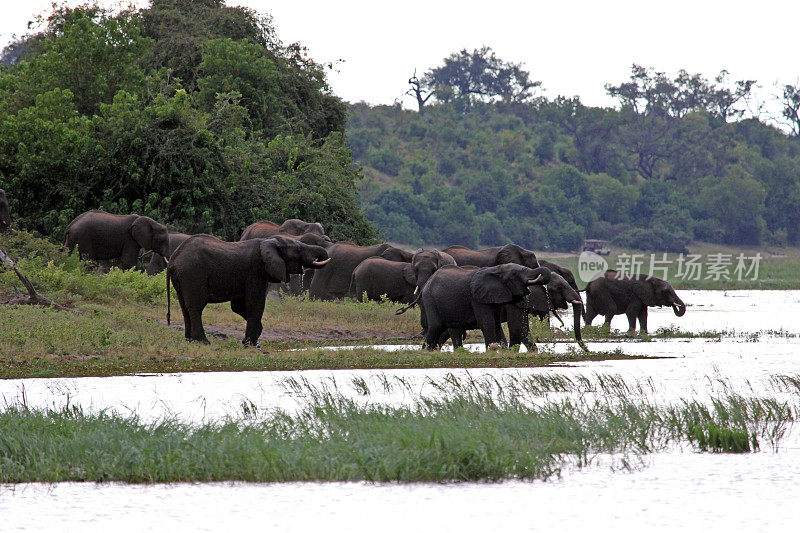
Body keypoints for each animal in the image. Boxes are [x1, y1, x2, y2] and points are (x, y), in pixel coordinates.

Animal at [167, 234, 330, 342]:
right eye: (298, 249)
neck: (269, 242)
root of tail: (173, 259)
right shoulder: (256, 270)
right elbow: (255, 303)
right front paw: (251, 344)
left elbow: (237, 306)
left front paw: (256, 334)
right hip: (193, 273)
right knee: (196, 306)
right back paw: (203, 342)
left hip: (182, 277)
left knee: (184, 306)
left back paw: (189, 340)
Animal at [418, 262, 552, 354]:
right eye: (514, 274)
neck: (496, 269)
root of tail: (427, 282)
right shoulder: (477, 297)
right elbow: (488, 322)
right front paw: (490, 351)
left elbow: (497, 323)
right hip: (429, 299)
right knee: (436, 326)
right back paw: (425, 351)